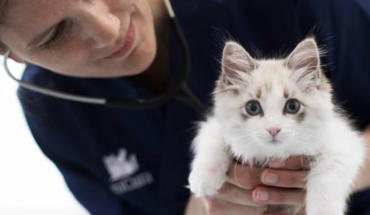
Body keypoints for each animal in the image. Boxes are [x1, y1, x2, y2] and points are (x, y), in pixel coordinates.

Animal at [189, 38, 366, 215]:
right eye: (252, 108)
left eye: (292, 106)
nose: (273, 130)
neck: (275, 155)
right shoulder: (213, 125)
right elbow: (216, 142)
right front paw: (203, 179)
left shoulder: (342, 143)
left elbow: (325, 181)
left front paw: (323, 211)